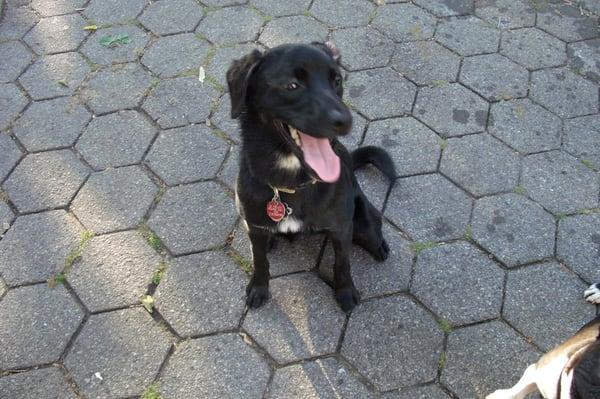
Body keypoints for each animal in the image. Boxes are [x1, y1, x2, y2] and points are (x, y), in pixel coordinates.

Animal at [227, 43, 396, 312]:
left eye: (336, 81)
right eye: (292, 85)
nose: (345, 121)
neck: (289, 184)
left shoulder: (340, 227)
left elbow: (342, 263)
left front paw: (345, 291)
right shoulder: (253, 226)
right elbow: (259, 260)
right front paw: (259, 287)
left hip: (362, 221)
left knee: (372, 230)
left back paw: (379, 246)